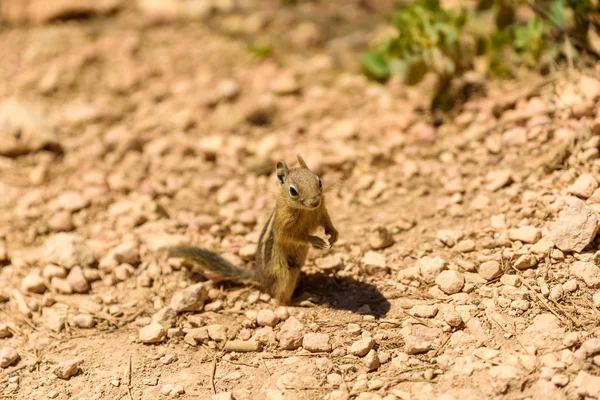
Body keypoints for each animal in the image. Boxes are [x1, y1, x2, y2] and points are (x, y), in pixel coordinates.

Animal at [169, 155, 338, 304]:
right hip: (284, 275)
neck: (306, 211)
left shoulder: (321, 210)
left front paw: (333, 235)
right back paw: (301, 300)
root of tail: (259, 276)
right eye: (293, 191)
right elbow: (290, 236)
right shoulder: (283, 225)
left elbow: (327, 222)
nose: (314, 202)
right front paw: (315, 240)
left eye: (319, 181)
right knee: (281, 301)